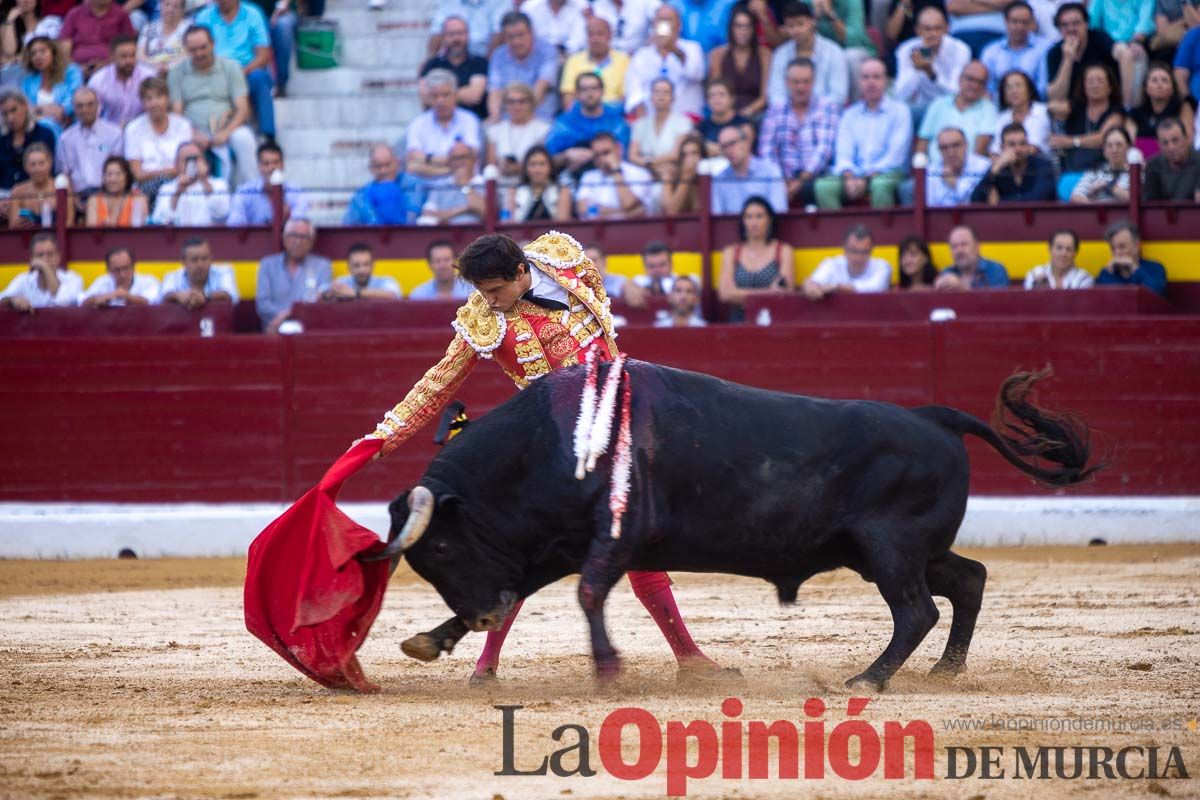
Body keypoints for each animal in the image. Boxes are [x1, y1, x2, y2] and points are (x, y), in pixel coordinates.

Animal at [360, 359, 1099, 690]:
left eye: (444, 545)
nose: (479, 614)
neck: (552, 440)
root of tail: (935, 416)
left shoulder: (612, 540)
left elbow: (591, 594)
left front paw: (609, 669)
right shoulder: (556, 547)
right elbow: (550, 591)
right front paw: (433, 639)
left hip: (889, 548)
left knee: (917, 610)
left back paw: (869, 679)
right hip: (896, 550)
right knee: (968, 579)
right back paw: (946, 671)